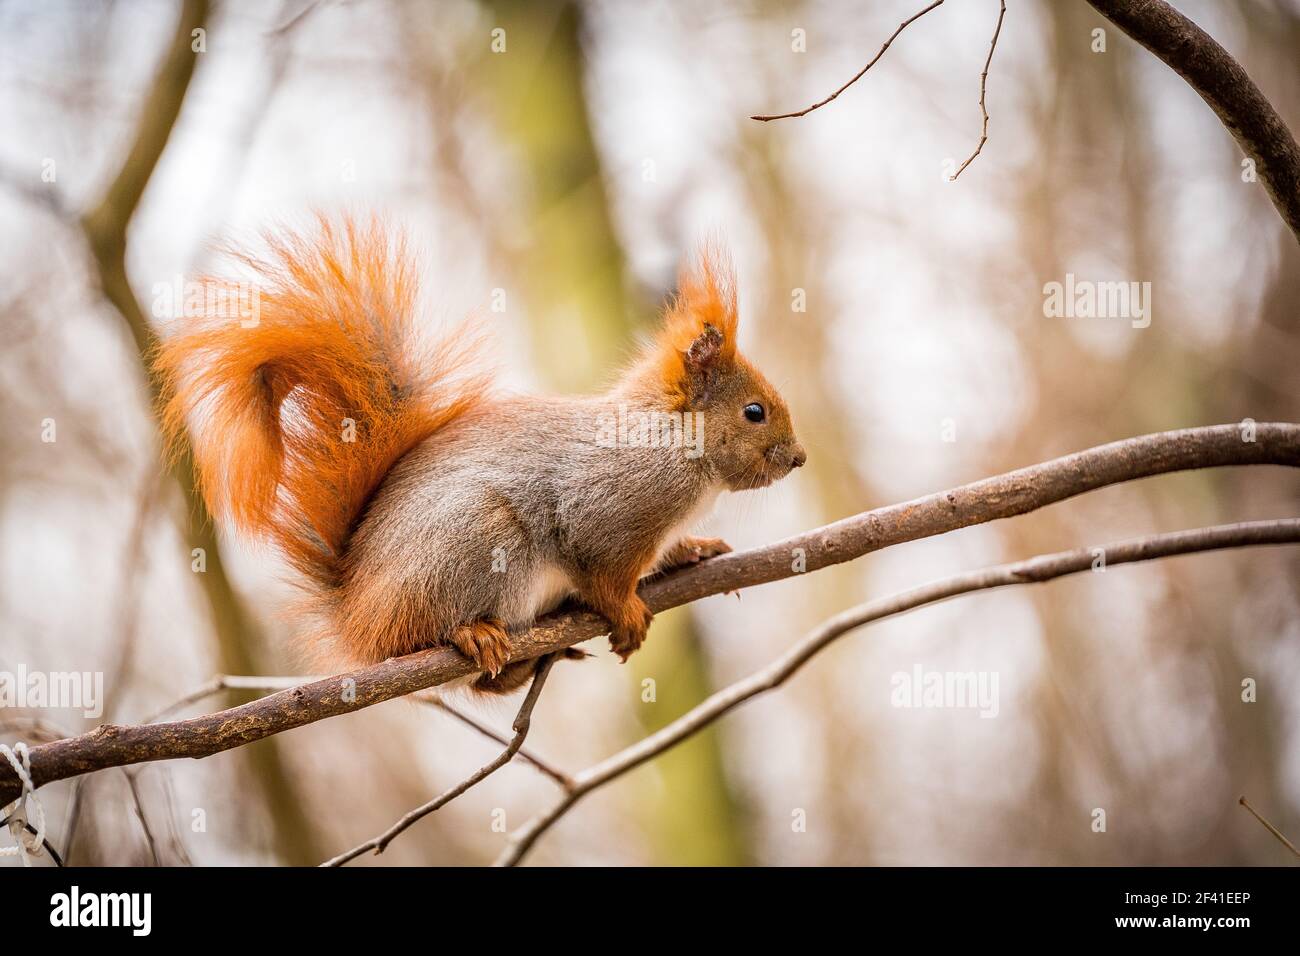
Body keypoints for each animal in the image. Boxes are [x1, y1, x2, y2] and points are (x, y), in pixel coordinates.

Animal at [152, 219, 800, 691]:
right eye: (754, 412)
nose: (798, 459)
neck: (673, 443)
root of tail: (357, 616)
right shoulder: (612, 506)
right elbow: (603, 568)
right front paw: (627, 611)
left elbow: (667, 550)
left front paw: (696, 549)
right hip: (481, 540)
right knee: (420, 636)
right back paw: (472, 636)